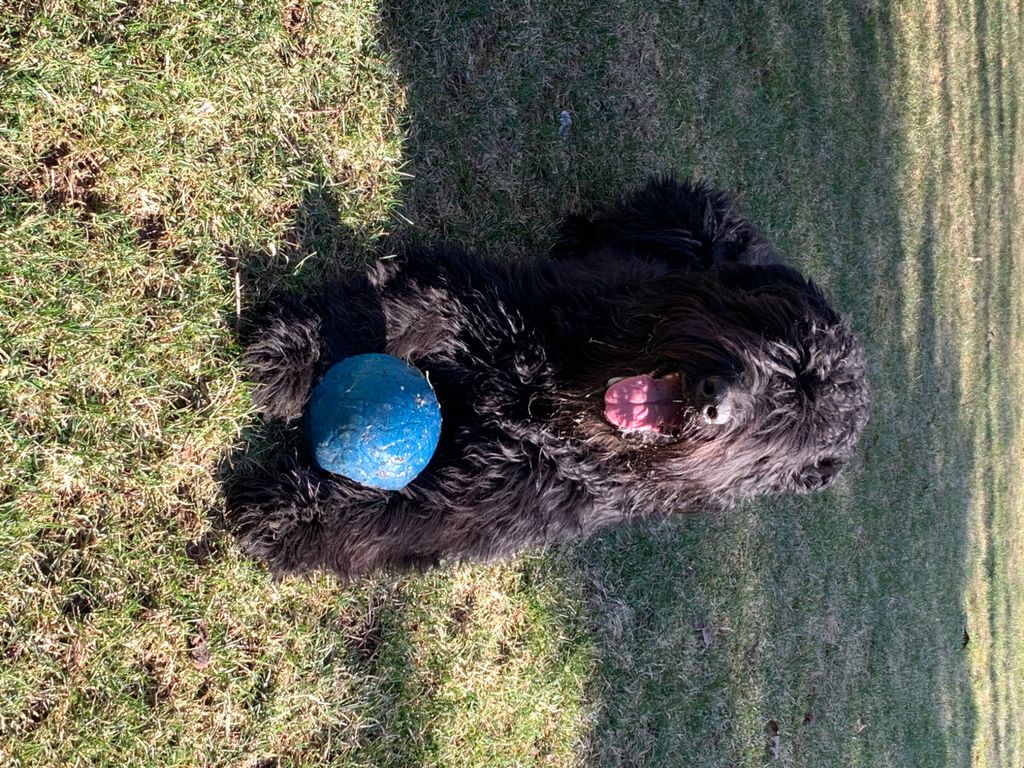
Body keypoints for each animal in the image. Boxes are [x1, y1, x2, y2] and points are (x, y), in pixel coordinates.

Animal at [230, 179, 872, 577]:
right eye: (782, 352)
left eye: (787, 427)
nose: (714, 399)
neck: (554, 403)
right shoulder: (480, 304)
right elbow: (395, 312)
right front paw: (294, 353)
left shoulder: (493, 501)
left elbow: (397, 517)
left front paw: (289, 517)